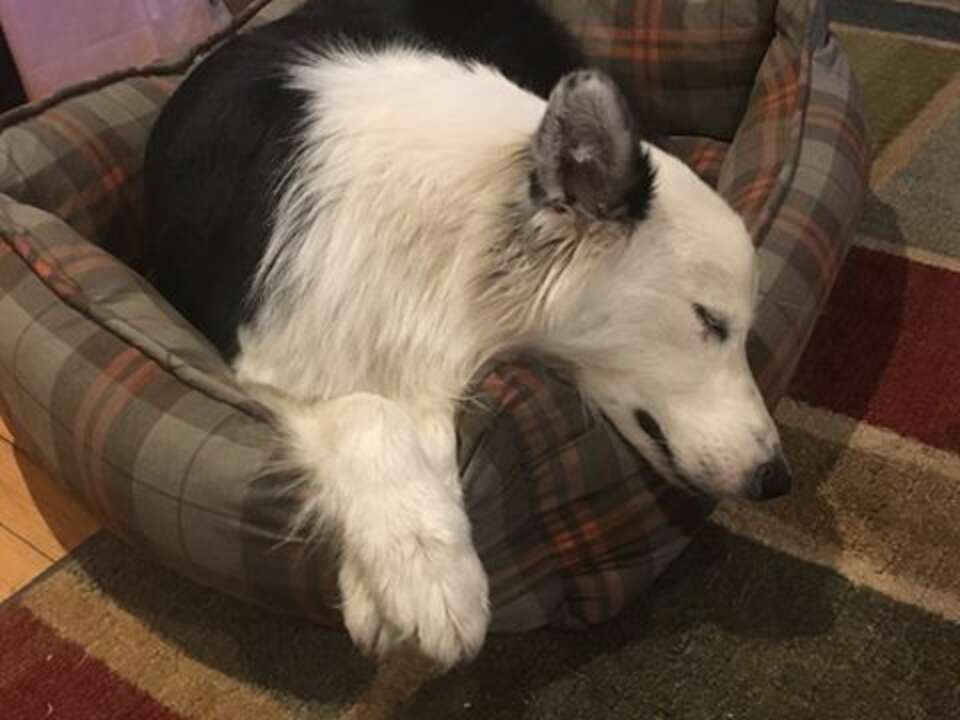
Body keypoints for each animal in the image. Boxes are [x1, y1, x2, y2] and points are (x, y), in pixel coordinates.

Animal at [141, 0, 788, 668]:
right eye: (710, 321)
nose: (777, 479)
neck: (465, 219)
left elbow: (425, 428)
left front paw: (399, 571)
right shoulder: (273, 352)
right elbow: (365, 408)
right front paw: (426, 572)